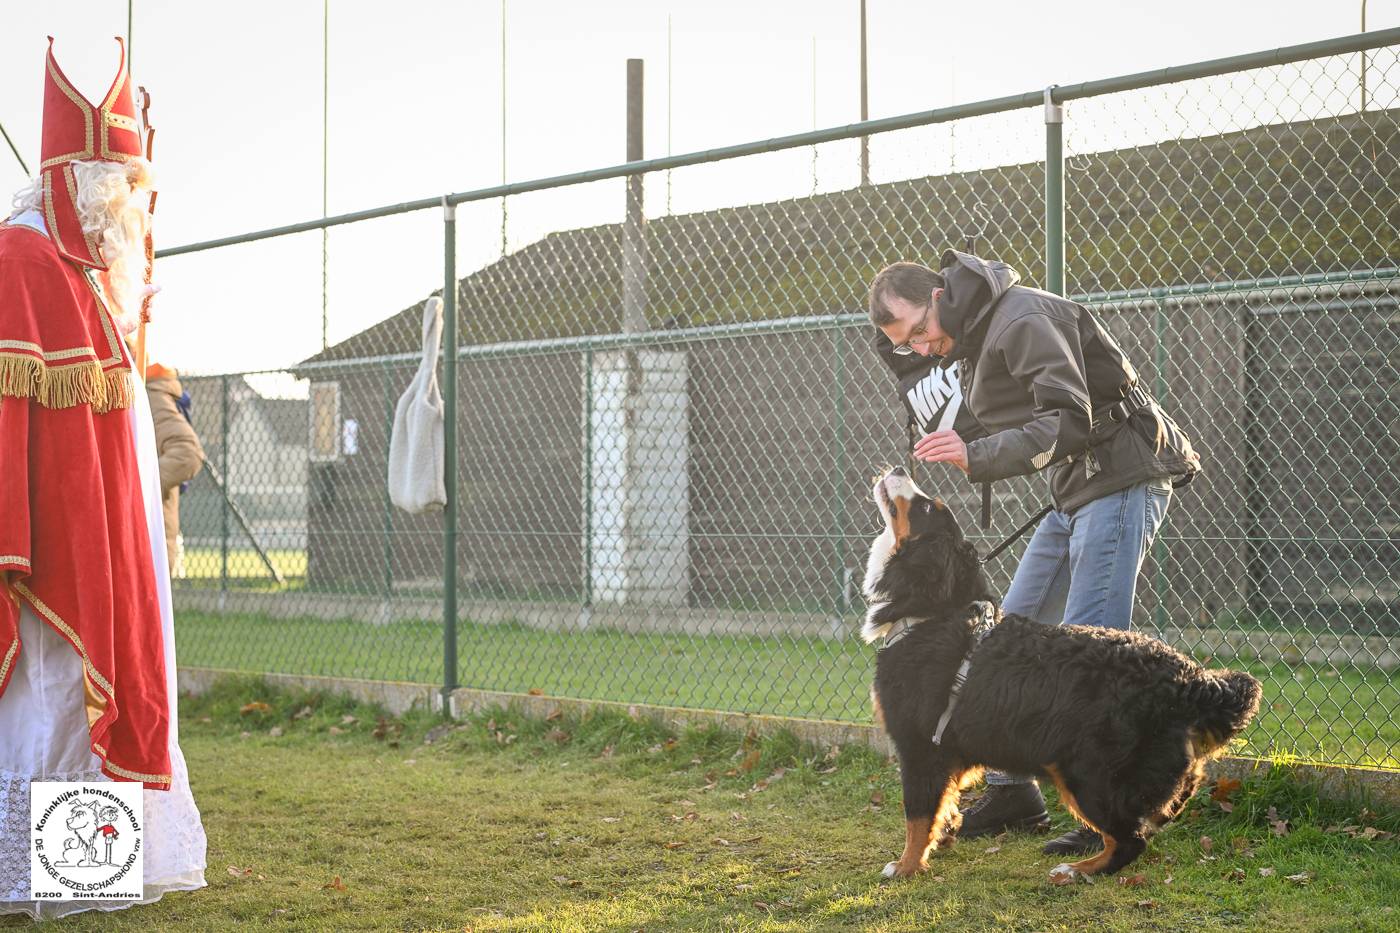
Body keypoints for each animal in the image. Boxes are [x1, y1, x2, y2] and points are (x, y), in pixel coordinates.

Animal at [856, 465, 1265, 879]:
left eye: (925, 506)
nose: (899, 468)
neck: (931, 612)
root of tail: (1191, 680)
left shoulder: (920, 746)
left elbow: (917, 815)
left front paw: (906, 866)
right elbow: (943, 807)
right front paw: (940, 841)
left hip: (1087, 772)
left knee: (1130, 840)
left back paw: (1076, 869)